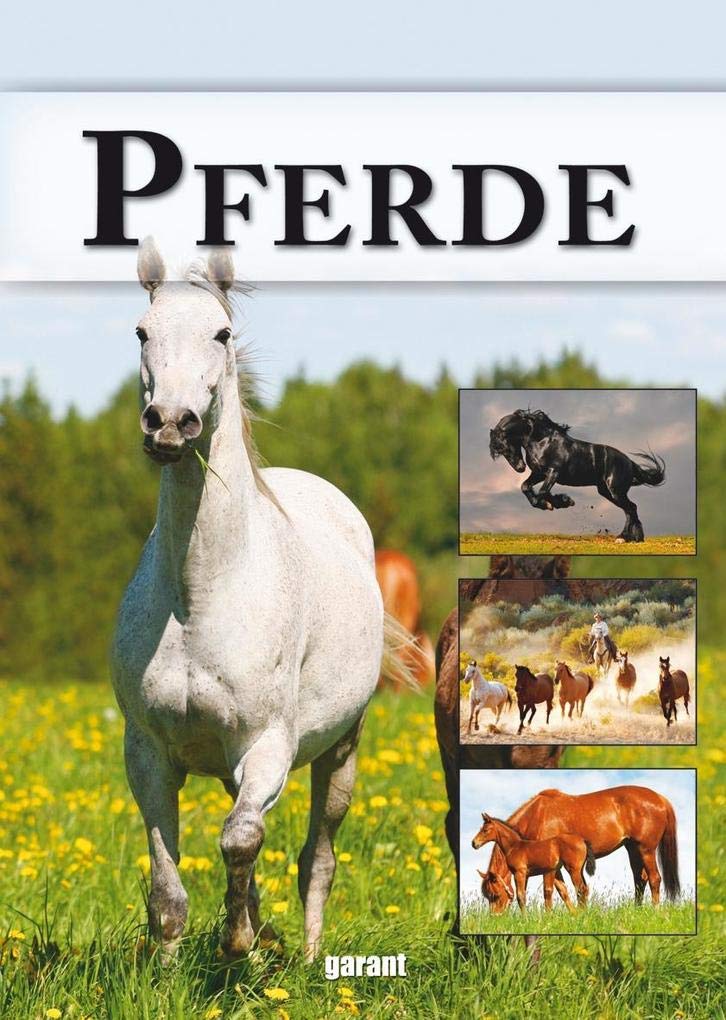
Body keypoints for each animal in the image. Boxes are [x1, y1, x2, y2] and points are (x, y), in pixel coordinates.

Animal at [111, 240, 408, 963]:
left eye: (221, 334)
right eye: (142, 331)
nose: (170, 424)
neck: (200, 598)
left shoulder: (267, 745)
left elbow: (241, 839)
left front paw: (239, 940)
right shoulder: (147, 755)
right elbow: (167, 892)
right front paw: (171, 969)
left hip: (341, 753)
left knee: (316, 860)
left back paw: (306, 957)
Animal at [477, 786, 680, 913]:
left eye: (495, 895)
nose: (495, 919)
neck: (537, 815)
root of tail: (661, 799)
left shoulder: (548, 867)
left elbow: (551, 892)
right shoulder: (555, 867)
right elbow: (564, 891)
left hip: (646, 850)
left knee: (654, 878)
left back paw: (655, 910)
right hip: (633, 849)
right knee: (640, 879)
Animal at [488, 408, 666, 542]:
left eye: (505, 447)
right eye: (500, 451)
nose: (520, 468)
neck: (542, 441)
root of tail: (629, 462)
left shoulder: (553, 472)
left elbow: (543, 492)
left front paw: (560, 502)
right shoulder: (538, 473)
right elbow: (526, 487)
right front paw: (553, 503)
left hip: (615, 491)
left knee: (630, 508)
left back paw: (624, 538)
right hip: (606, 492)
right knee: (630, 509)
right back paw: (634, 538)